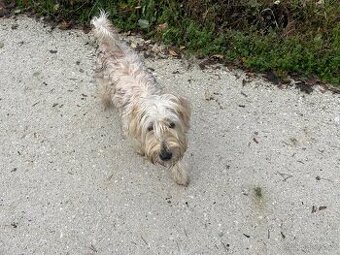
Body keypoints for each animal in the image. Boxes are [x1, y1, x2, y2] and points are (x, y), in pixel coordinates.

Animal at [90, 11, 191, 185]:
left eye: (171, 124)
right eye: (150, 128)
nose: (165, 155)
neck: (146, 96)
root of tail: (110, 43)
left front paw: (179, 172)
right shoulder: (129, 126)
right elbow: (136, 140)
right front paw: (141, 148)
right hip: (103, 82)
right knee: (103, 93)